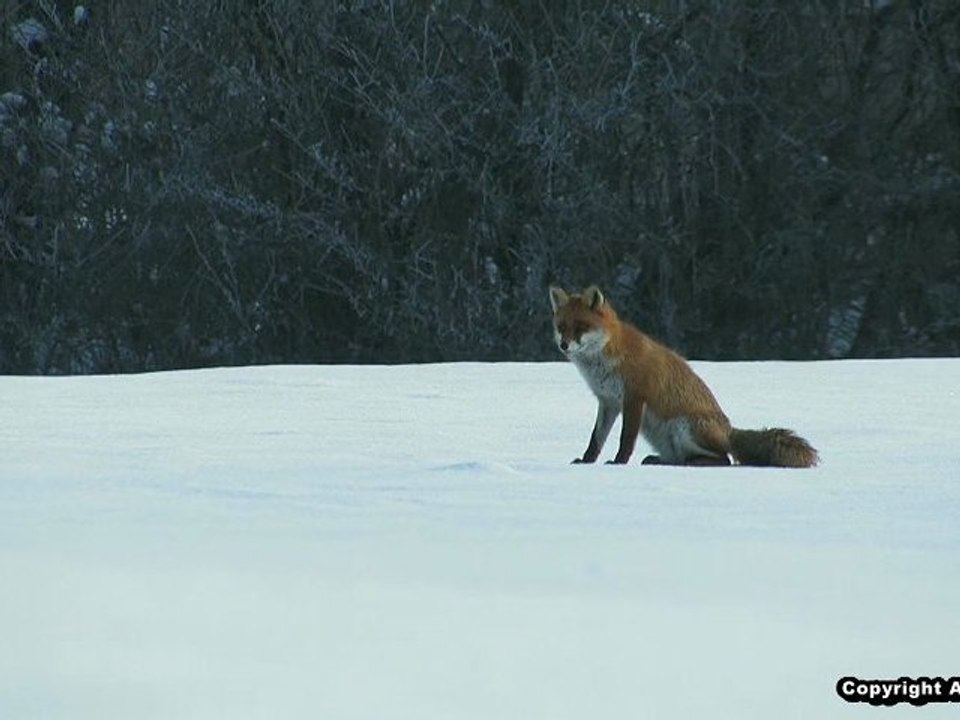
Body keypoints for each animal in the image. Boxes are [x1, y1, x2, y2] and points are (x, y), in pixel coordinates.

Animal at [549, 285, 819, 467]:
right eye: (561, 327)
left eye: (581, 327)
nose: (563, 345)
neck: (608, 357)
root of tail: (730, 431)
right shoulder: (608, 402)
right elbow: (596, 439)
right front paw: (586, 461)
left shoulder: (634, 398)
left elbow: (626, 439)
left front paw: (618, 463)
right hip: (663, 436)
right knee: (682, 457)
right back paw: (662, 461)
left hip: (683, 427)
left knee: (724, 459)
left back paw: (692, 463)